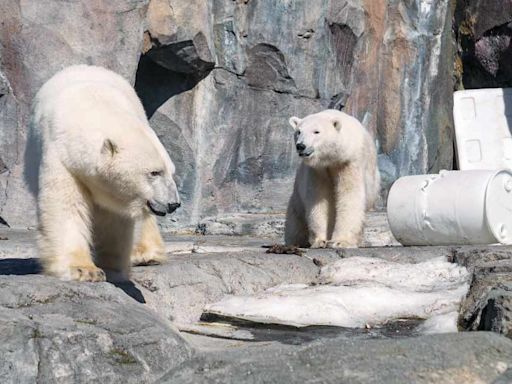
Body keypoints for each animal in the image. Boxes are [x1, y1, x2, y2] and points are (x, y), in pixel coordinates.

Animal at [32, 65, 180, 282]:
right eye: (154, 172)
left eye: (171, 172)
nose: (174, 204)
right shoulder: (61, 155)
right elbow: (66, 205)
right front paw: (84, 270)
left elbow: (116, 218)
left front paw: (114, 267)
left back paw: (145, 254)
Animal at [284, 109, 380, 248]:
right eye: (299, 132)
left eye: (316, 131)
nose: (301, 146)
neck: (332, 158)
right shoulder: (318, 171)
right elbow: (318, 199)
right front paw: (320, 241)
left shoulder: (349, 162)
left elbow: (350, 195)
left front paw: (340, 241)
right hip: (297, 195)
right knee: (296, 219)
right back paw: (295, 243)